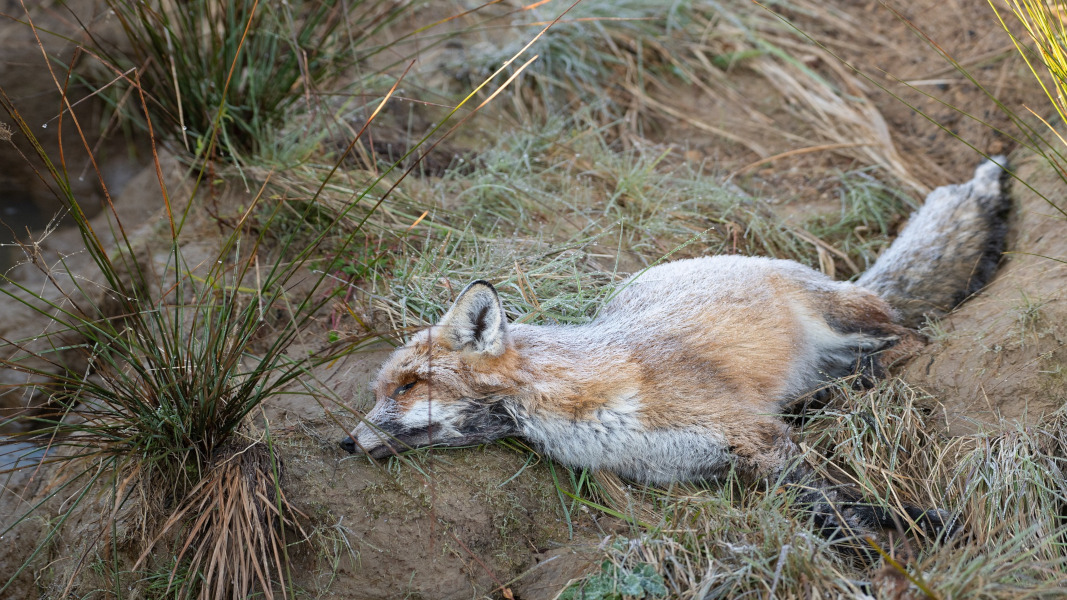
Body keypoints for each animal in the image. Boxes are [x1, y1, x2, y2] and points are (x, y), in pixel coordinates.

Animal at [341, 158, 1007, 538]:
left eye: (408, 386)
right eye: (380, 390)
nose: (344, 442)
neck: (587, 412)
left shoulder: (754, 435)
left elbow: (839, 507)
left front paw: (916, 528)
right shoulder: (710, 465)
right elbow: (821, 512)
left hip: (846, 320)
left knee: (911, 338)